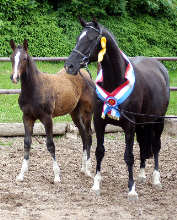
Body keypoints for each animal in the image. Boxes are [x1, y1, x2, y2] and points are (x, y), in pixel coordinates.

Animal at [65, 18, 170, 199]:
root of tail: (160, 67)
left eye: (91, 39)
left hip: (158, 121)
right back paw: (142, 175)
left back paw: (156, 180)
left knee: (156, 146)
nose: (69, 66)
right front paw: (96, 185)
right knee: (143, 146)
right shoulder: (99, 122)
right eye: (79, 38)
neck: (115, 80)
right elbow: (99, 151)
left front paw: (132, 189)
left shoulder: (129, 126)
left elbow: (129, 156)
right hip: (143, 123)